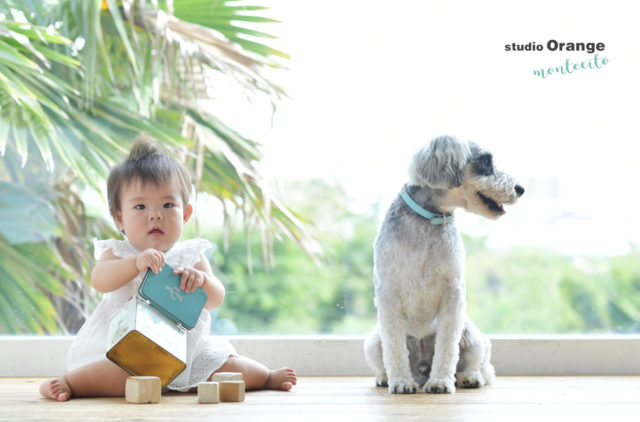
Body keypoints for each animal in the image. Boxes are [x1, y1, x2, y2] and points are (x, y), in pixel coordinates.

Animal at [362, 134, 524, 392]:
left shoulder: (452, 296)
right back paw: (386, 377)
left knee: (480, 367)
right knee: (383, 357)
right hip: (372, 343)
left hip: (473, 338)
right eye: (485, 161)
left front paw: (439, 381)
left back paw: (469, 378)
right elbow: (394, 348)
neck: (429, 220)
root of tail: (421, 367)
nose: (520, 189)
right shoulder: (388, 294)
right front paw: (401, 382)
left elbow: (448, 346)